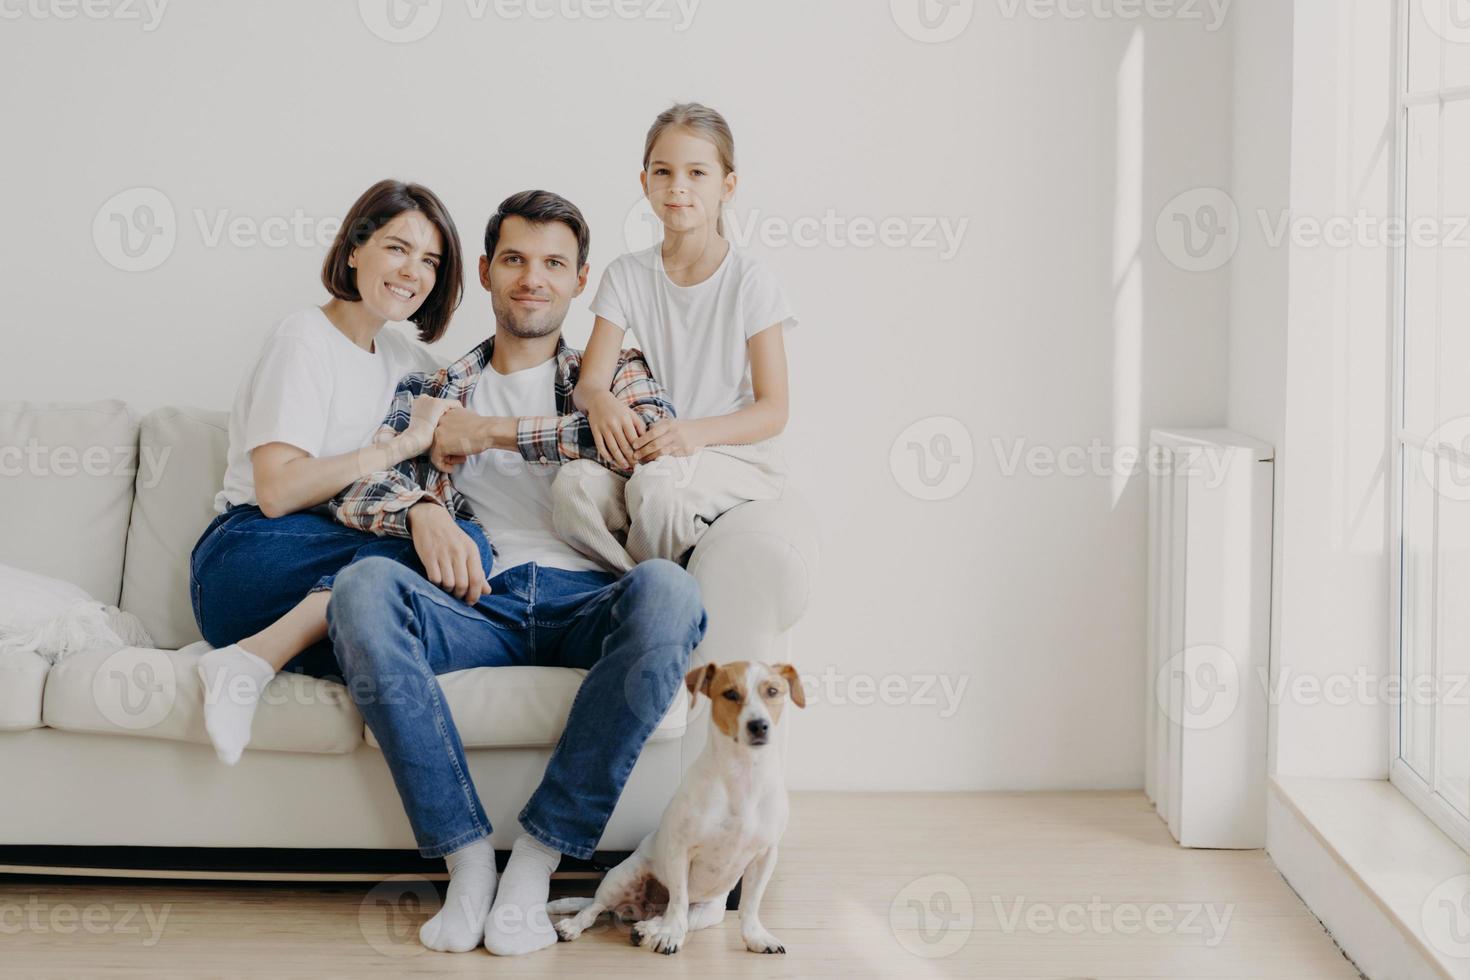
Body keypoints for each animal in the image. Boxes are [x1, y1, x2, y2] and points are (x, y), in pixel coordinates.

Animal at [549, 664, 805, 952]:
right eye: (730, 694)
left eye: (772, 691)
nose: (759, 725)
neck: (743, 774)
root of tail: (644, 907)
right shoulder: (681, 849)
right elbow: (679, 898)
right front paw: (670, 936)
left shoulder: (765, 856)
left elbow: (750, 905)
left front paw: (756, 937)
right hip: (622, 877)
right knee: (596, 907)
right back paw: (575, 926)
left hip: (705, 912)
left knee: (665, 916)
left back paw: (646, 929)